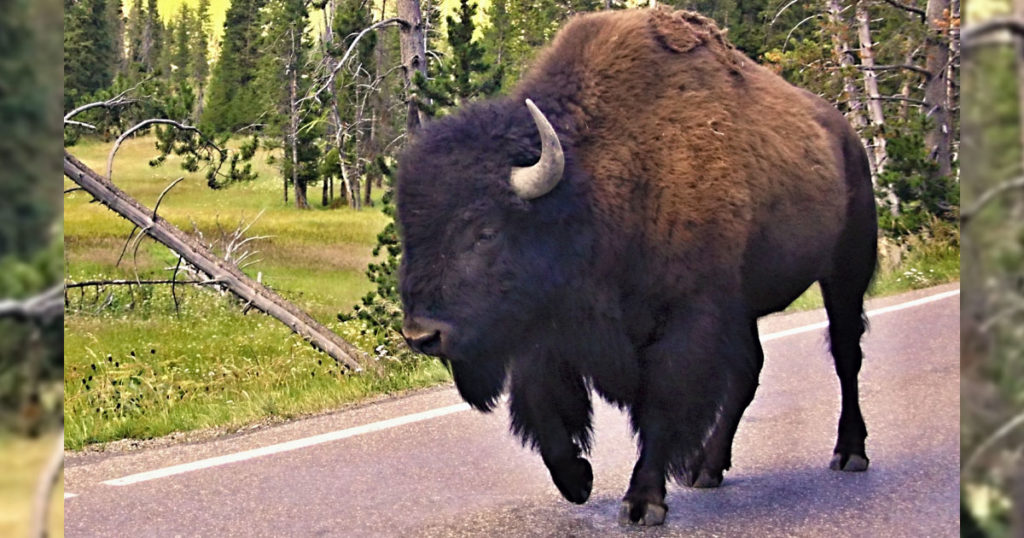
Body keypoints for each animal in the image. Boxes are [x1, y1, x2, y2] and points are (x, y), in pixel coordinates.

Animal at [396, 8, 877, 526]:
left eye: (485, 231)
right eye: (409, 231)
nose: (422, 335)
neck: (597, 185)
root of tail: (847, 137)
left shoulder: (684, 321)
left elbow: (662, 406)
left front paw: (643, 501)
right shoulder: (546, 331)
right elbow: (544, 408)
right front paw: (578, 480)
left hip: (845, 272)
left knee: (845, 354)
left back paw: (850, 453)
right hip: (744, 307)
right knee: (749, 373)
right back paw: (707, 468)